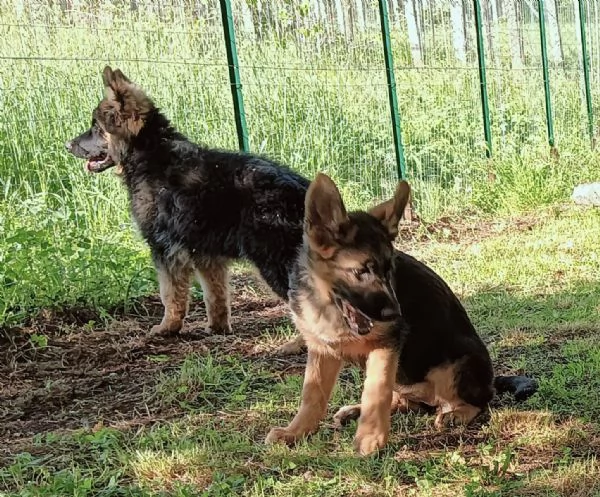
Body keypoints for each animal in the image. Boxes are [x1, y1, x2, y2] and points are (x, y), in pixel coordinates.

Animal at [65, 67, 310, 338]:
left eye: (96, 127)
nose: (67, 145)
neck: (151, 153)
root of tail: (303, 192)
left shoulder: (165, 250)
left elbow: (170, 295)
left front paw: (167, 327)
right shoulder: (206, 255)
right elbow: (215, 295)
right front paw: (218, 328)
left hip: (275, 263)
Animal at [264, 173, 536, 454]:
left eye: (389, 270)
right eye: (361, 271)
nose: (396, 314)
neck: (327, 304)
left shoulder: (386, 344)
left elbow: (376, 391)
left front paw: (370, 438)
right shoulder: (322, 349)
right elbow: (312, 394)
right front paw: (296, 432)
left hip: (455, 365)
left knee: (479, 401)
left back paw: (455, 414)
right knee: (406, 402)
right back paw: (356, 411)